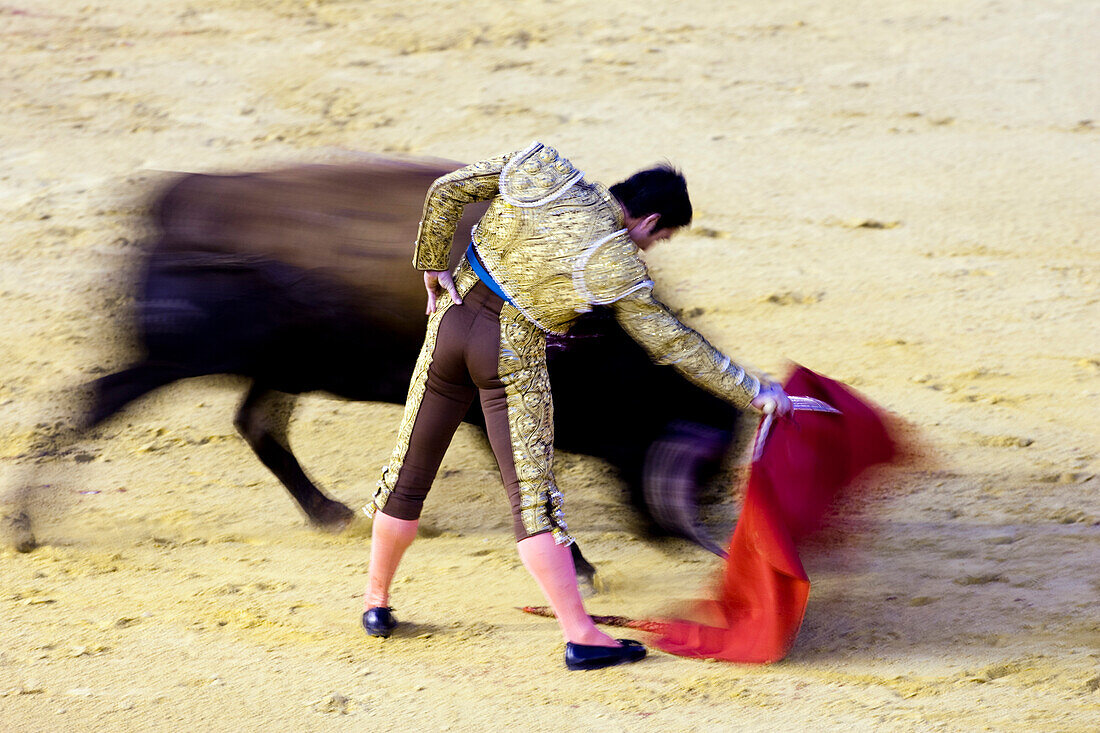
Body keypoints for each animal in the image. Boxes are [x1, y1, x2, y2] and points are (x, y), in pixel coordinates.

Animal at [19, 158, 748, 572]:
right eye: (700, 464)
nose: (688, 534)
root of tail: (174, 202)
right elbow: (522, 475)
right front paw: (581, 565)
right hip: (171, 356)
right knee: (94, 403)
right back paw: (24, 526)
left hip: (277, 365)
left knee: (257, 425)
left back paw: (330, 513)